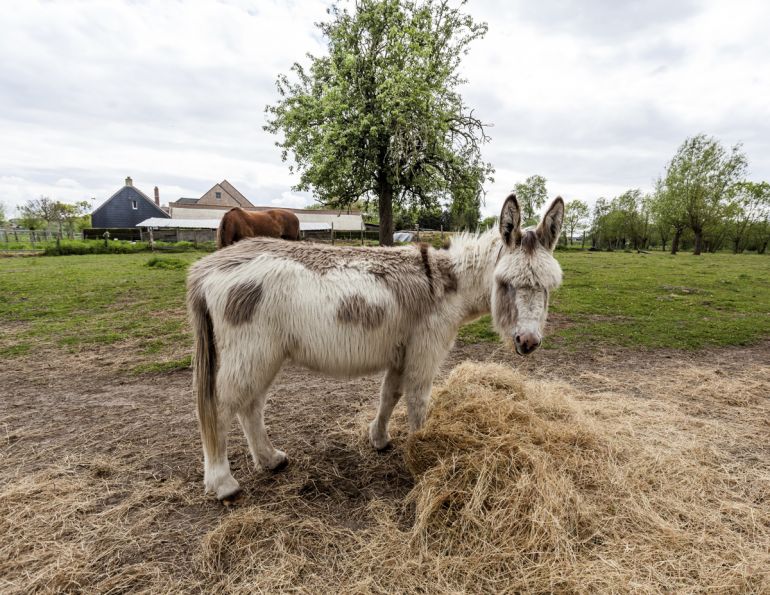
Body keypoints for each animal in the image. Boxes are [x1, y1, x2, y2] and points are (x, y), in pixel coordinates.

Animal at [187, 194, 564, 499]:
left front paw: (379, 439)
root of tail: (207, 268)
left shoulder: (402, 350)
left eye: (548, 286)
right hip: (252, 352)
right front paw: (423, 454)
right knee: (220, 408)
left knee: (250, 407)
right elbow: (417, 401)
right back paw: (223, 483)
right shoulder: (425, 350)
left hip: (262, 355)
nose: (528, 342)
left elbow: (390, 395)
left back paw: (270, 459)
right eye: (506, 283)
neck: (448, 283)